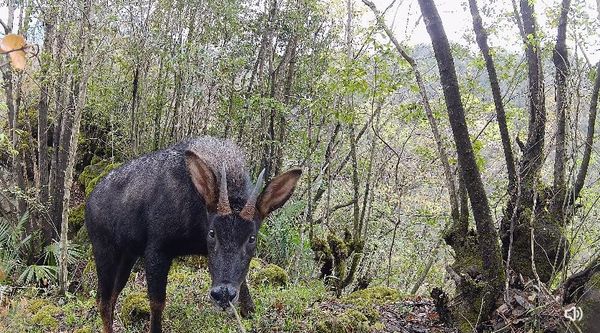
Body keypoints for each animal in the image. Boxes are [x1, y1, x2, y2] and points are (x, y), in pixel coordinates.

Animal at [84, 136, 300, 330]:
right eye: (212, 233)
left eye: (252, 238)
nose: (223, 295)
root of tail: (89, 202)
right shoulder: (156, 249)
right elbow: (157, 303)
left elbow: (247, 297)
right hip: (104, 251)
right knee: (104, 301)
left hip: (127, 256)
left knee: (109, 297)